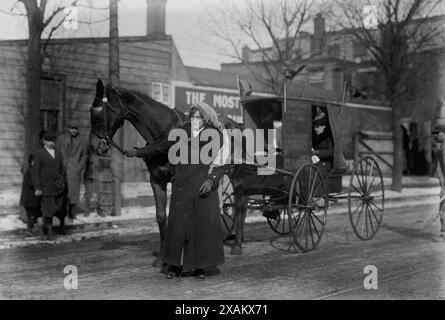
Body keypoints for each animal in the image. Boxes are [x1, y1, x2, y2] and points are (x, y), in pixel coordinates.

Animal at [89, 77, 250, 262]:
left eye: (100, 113)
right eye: (91, 111)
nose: (94, 146)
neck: (165, 131)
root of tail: (236, 124)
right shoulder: (156, 179)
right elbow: (161, 216)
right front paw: (162, 255)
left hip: (236, 174)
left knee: (240, 205)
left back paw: (237, 244)